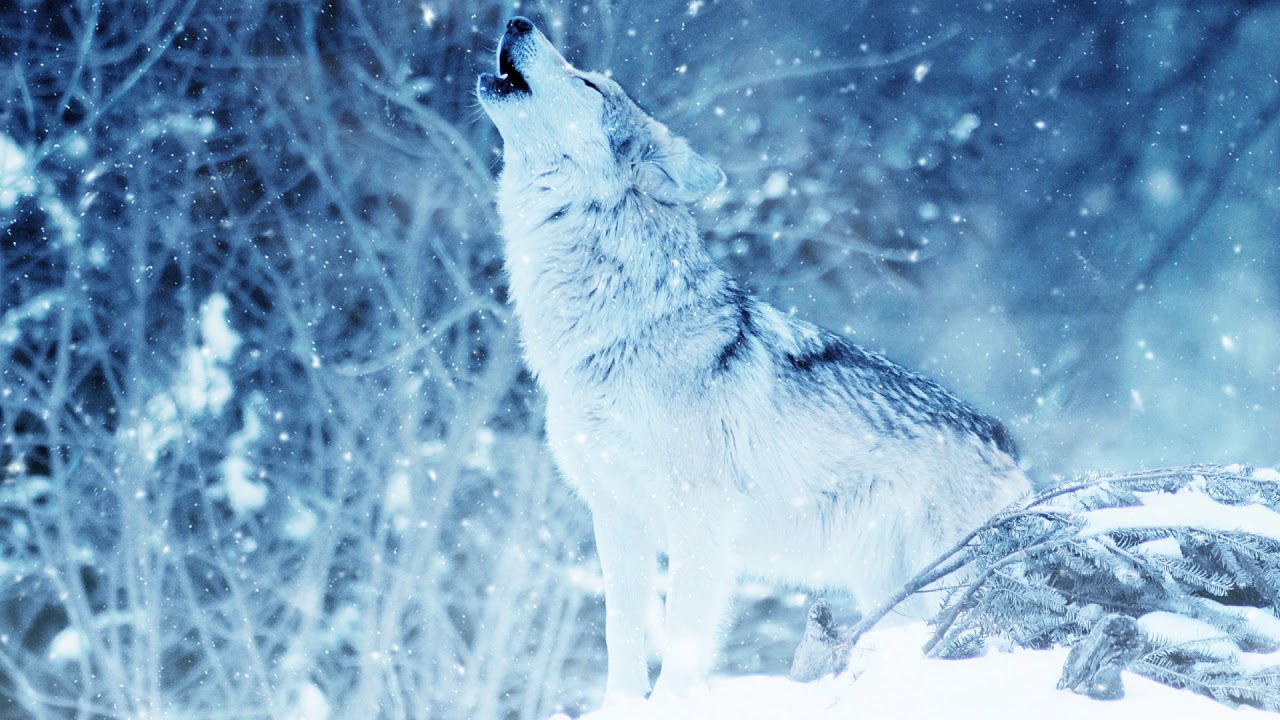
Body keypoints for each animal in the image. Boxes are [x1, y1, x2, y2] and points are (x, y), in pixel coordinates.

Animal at [477, 17, 1031, 703]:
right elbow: (620, 636)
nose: (518, 20)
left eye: (587, 83)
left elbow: (684, 643)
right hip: (892, 590)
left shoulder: (700, 519)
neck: (617, 327)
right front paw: (620, 706)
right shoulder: (617, 518)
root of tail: (1008, 442)